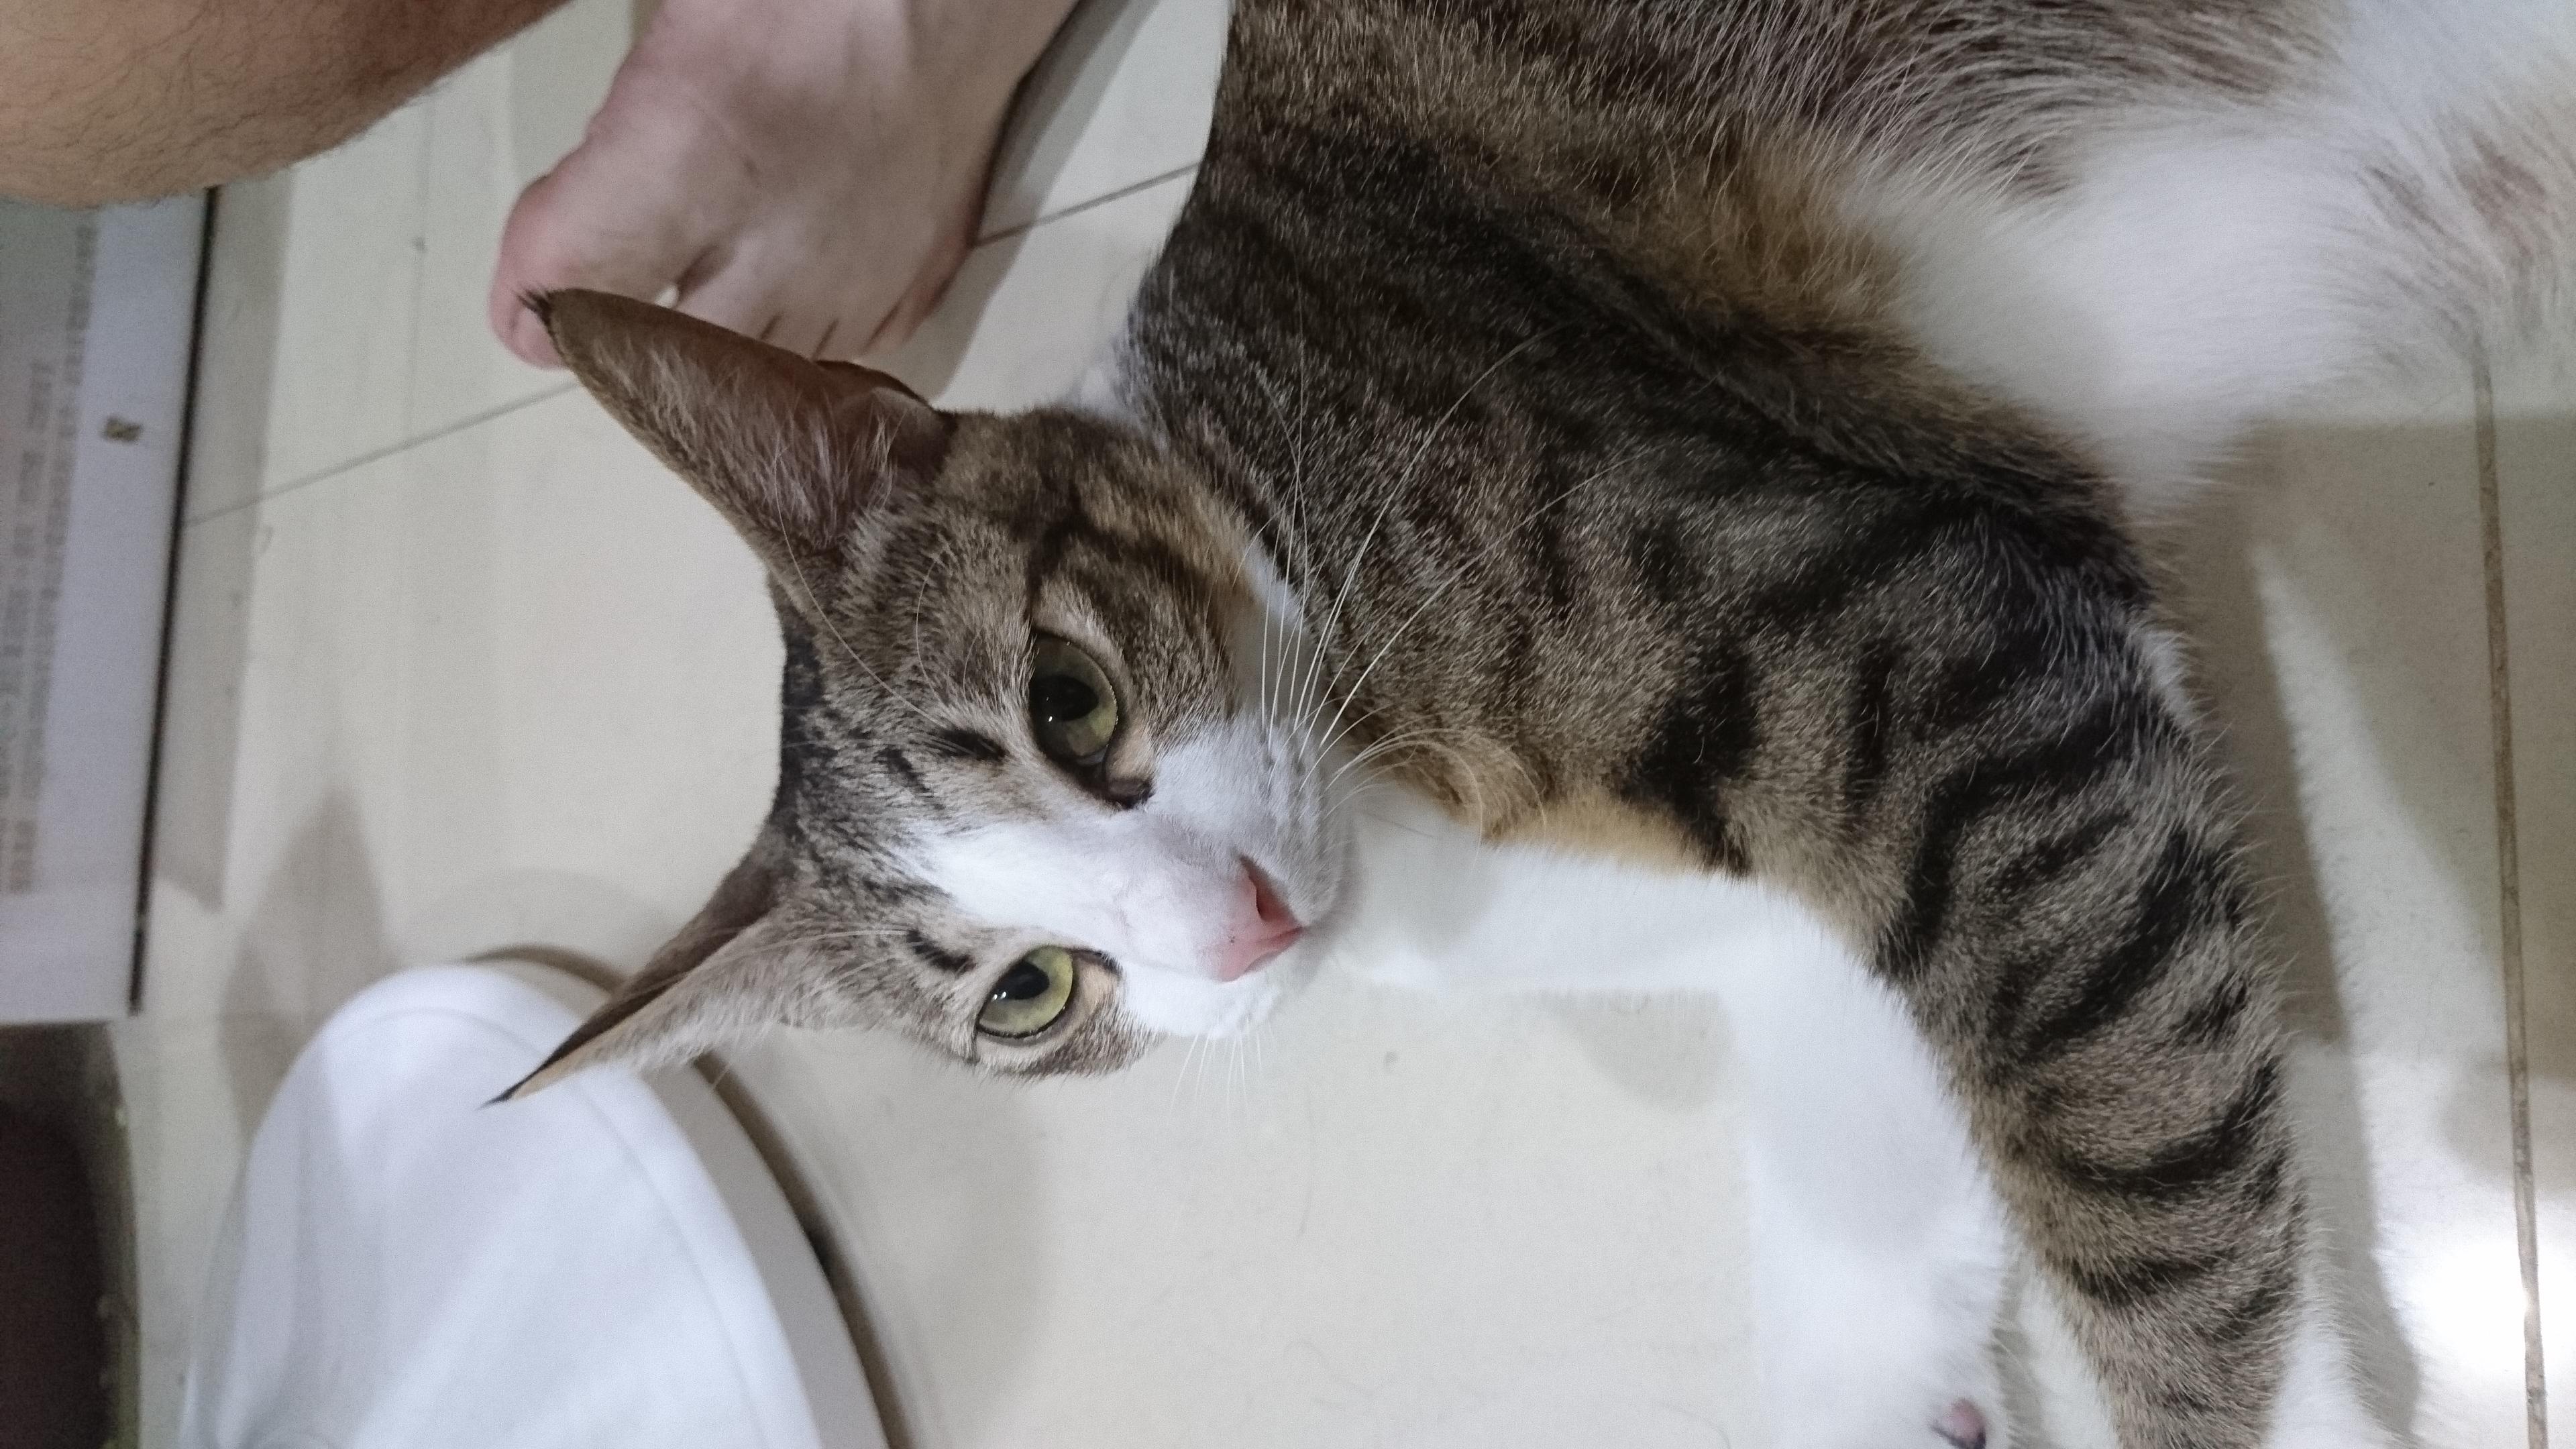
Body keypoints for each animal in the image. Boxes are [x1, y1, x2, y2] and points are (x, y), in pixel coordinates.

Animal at [504, 1, 2576, 1446]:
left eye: (1071, 699)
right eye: (1030, 994)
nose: (1239, 927)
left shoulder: (1910, 645)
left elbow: (2131, 1160)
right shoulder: (1811, 915)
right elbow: (1859, 1138)